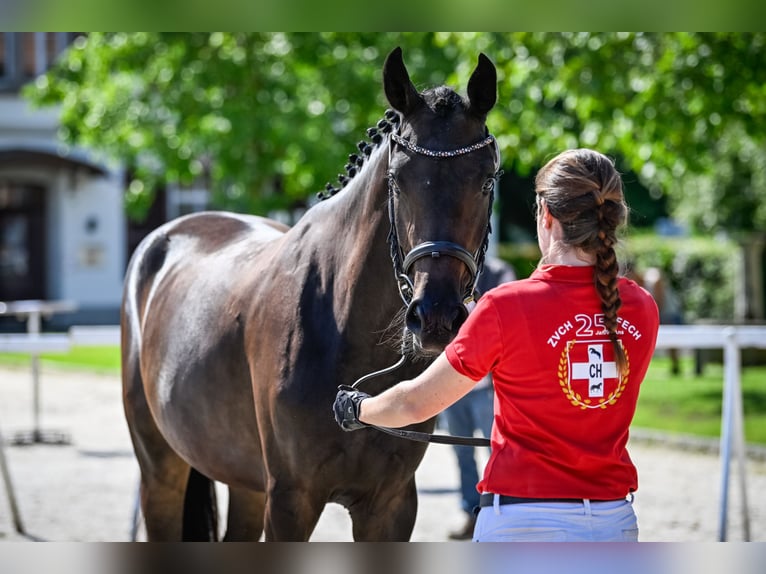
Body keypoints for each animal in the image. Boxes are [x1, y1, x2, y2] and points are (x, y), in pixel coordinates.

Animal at [121, 47, 504, 544]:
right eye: (397, 180)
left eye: (487, 180)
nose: (436, 316)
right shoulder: (291, 500)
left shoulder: (391, 505)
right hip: (160, 471)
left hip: (244, 483)